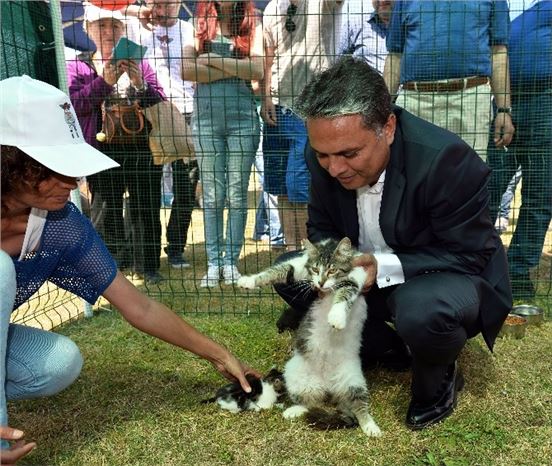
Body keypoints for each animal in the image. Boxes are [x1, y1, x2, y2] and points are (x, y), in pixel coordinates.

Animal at [237, 237, 384, 436]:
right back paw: (294, 410)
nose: (320, 283)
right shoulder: (299, 267)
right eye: (315, 270)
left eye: (332, 270)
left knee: (360, 407)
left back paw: (370, 427)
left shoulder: (355, 277)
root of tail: (328, 385)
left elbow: (344, 294)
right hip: (294, 376)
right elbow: (279, 270)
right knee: (309, 402)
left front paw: (336, 317)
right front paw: (249, 280)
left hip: (354, 381)